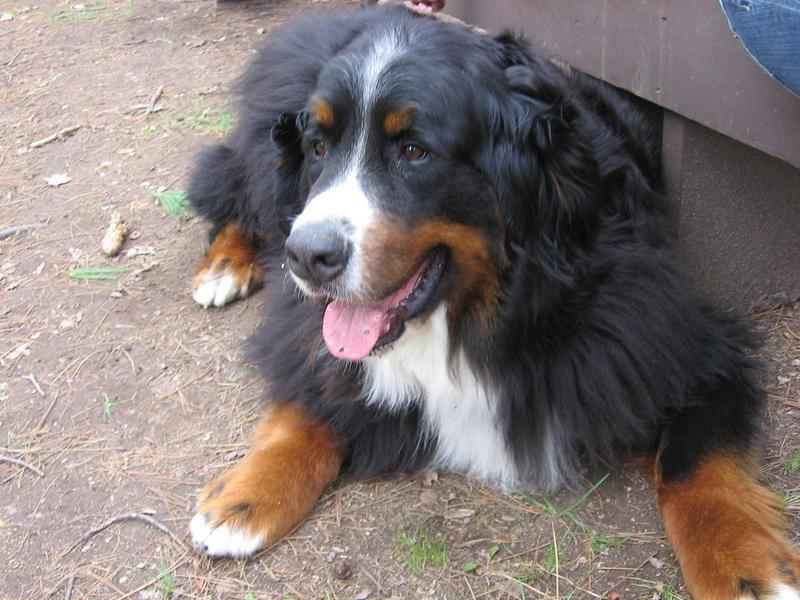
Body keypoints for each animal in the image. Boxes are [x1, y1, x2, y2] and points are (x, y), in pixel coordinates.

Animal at [184, 5, 800, 600]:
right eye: (319, 147)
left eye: (414, 151)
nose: (306, 256)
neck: (478, 314)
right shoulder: (306, 333)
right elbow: (314, 394)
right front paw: (245, 495)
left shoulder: (678, 344)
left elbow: (693, 464)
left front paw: (745, 569)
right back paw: (224, 267)